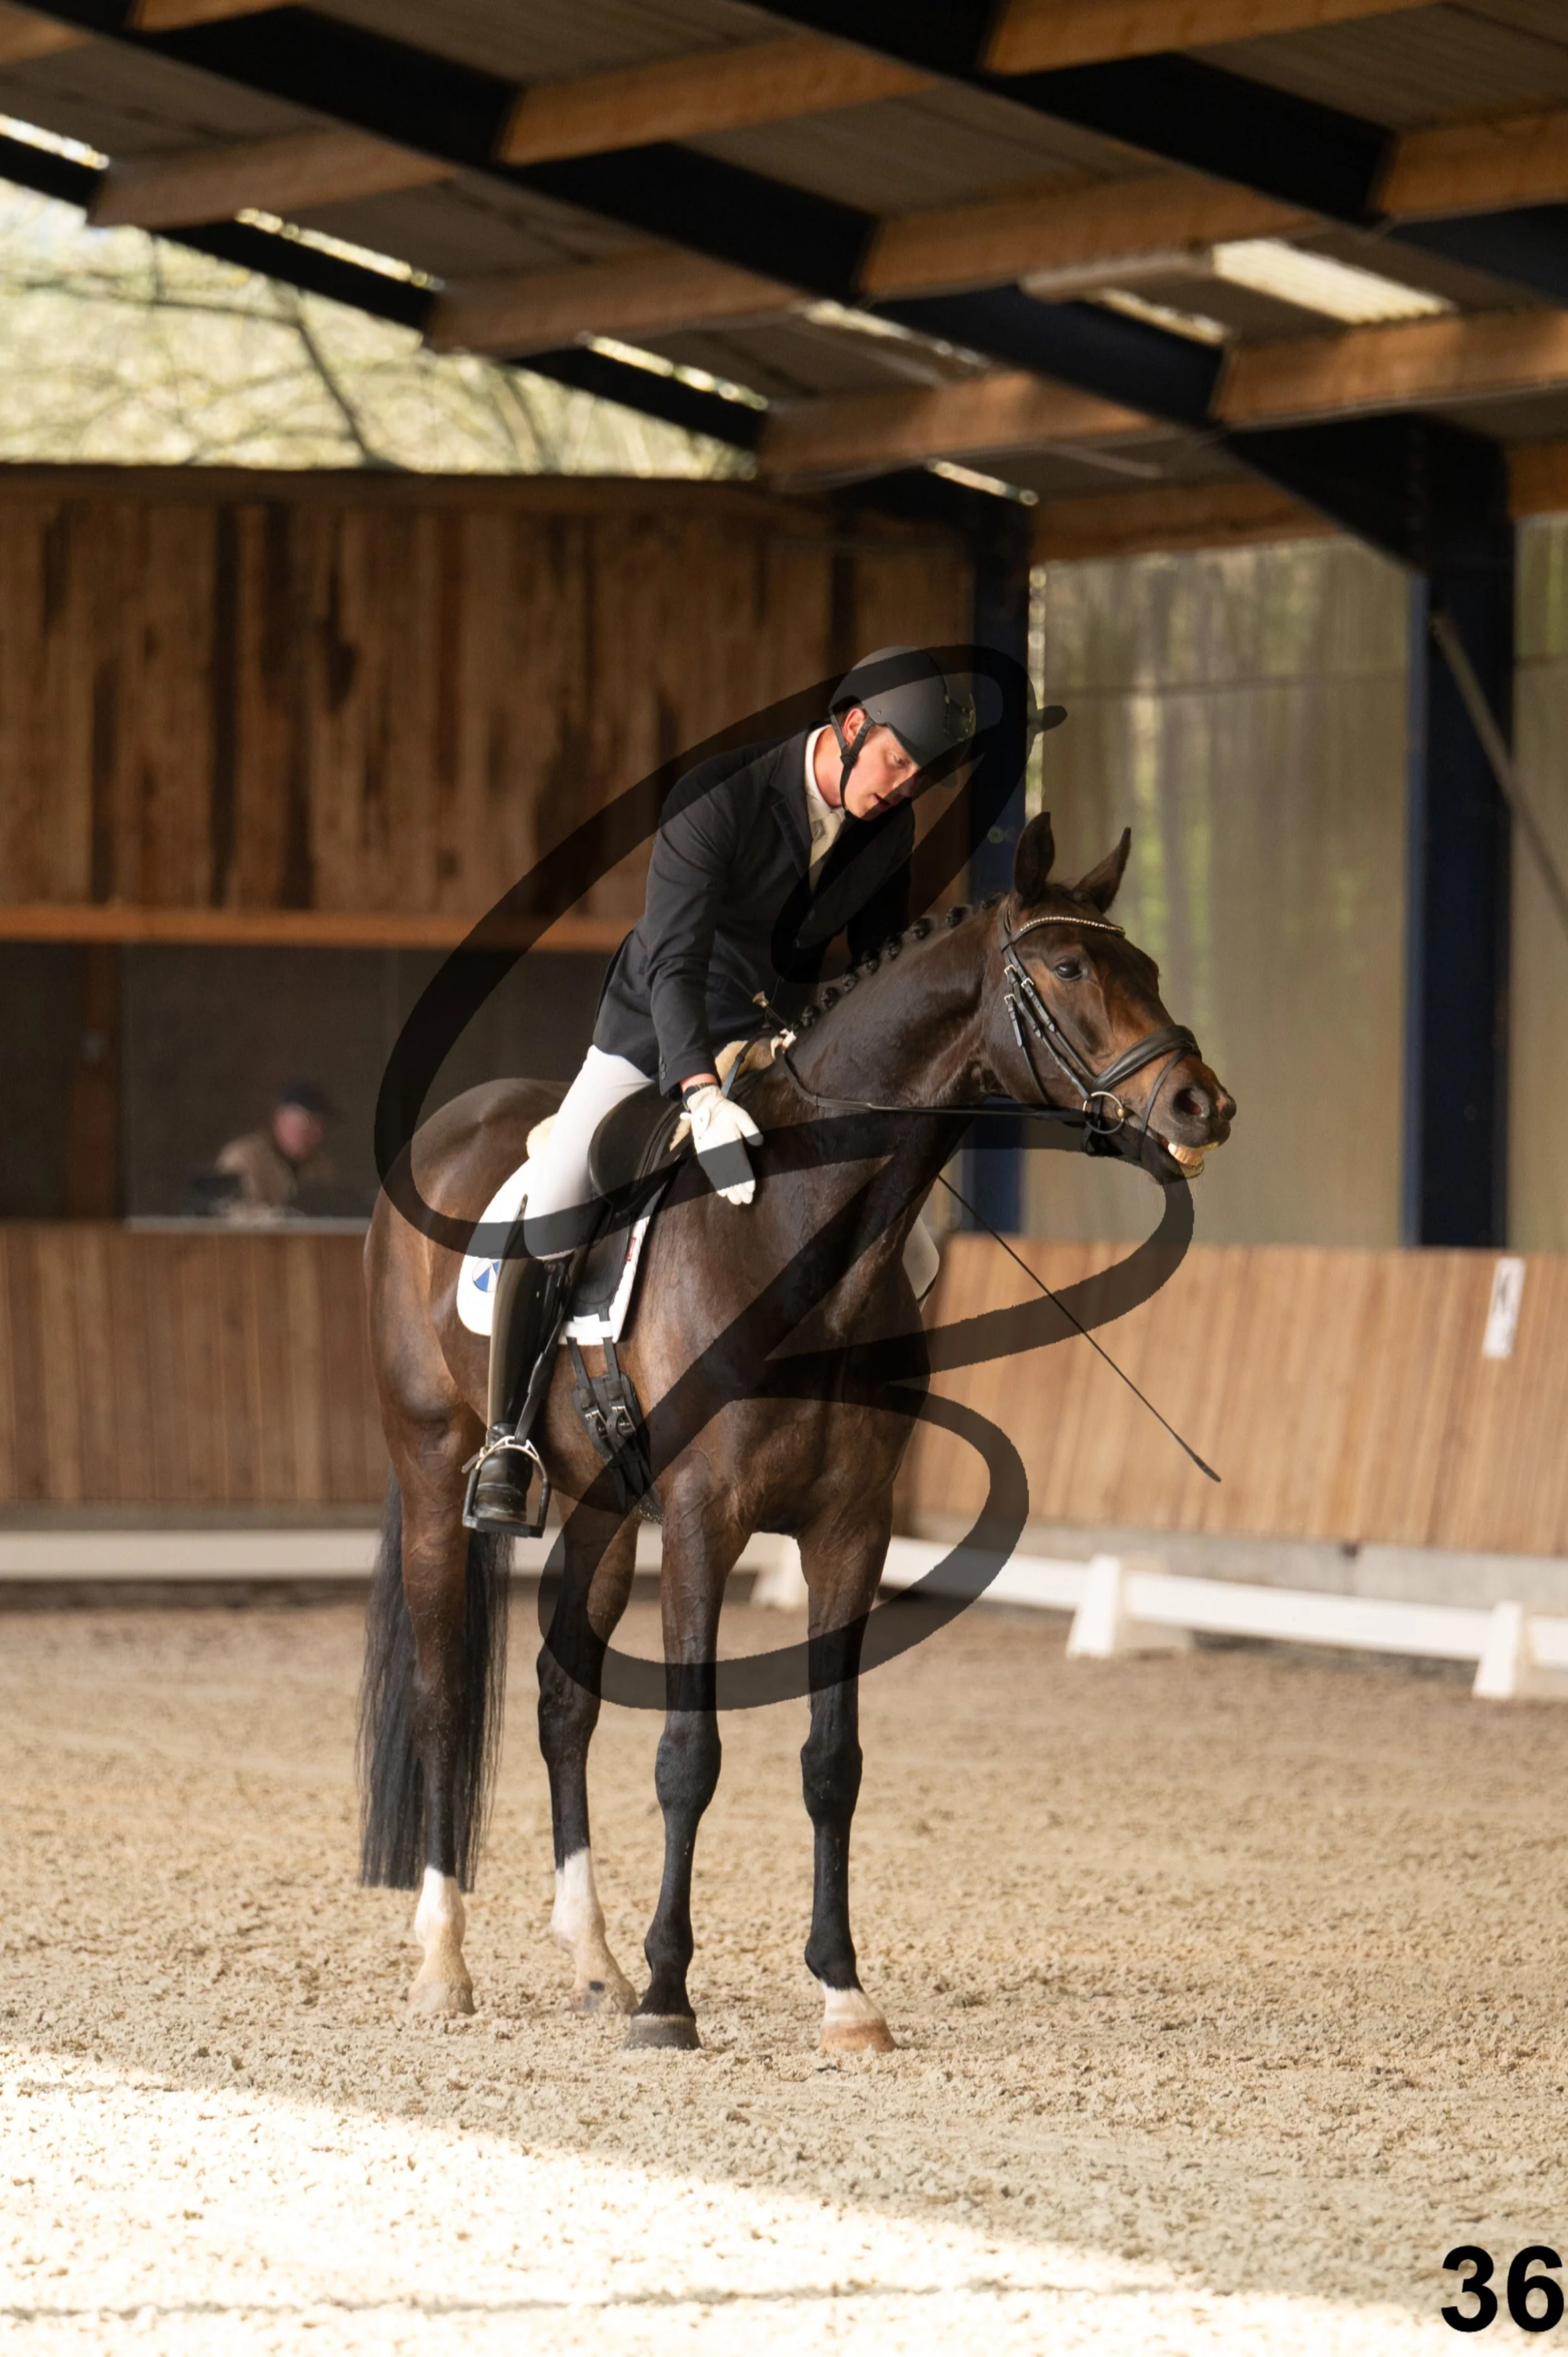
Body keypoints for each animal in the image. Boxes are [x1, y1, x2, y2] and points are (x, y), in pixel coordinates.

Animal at [358, 811, 1235, 2050]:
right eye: (1068, 969)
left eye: (1146, 966)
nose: (1203, 1105)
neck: (800, 1234)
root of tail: (443, 1136)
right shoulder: (702, 1519)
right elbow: (690, 1753)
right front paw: (671, 1997)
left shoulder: (847, 1527)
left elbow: (832, 1760)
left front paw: (842, 1991)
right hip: (440, 1467)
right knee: (444, 1689)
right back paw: (446, 1961)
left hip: (603, 1511)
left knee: (563, 1701)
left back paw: (594, 1959)